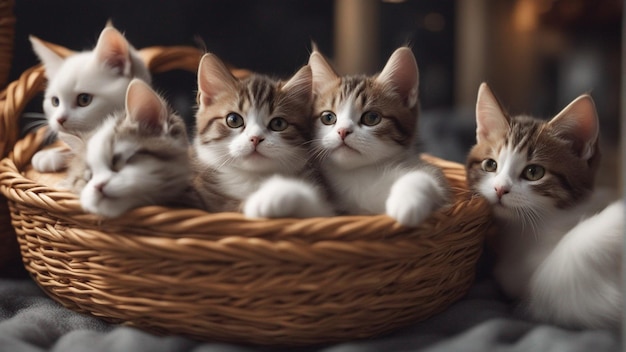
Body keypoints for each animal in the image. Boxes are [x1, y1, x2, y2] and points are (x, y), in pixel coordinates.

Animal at [193, 52, 334, 219]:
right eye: (233, 120)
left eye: (278, 123)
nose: (255, 138)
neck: (254, 178)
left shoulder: (326, 208)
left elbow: (319, 208)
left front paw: (273, 195)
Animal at [308, 46, 448, 227]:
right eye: (328, 117)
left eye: (372, 118)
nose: (343, 131)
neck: (359, 174)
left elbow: (428, 177)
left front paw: (407, 203)